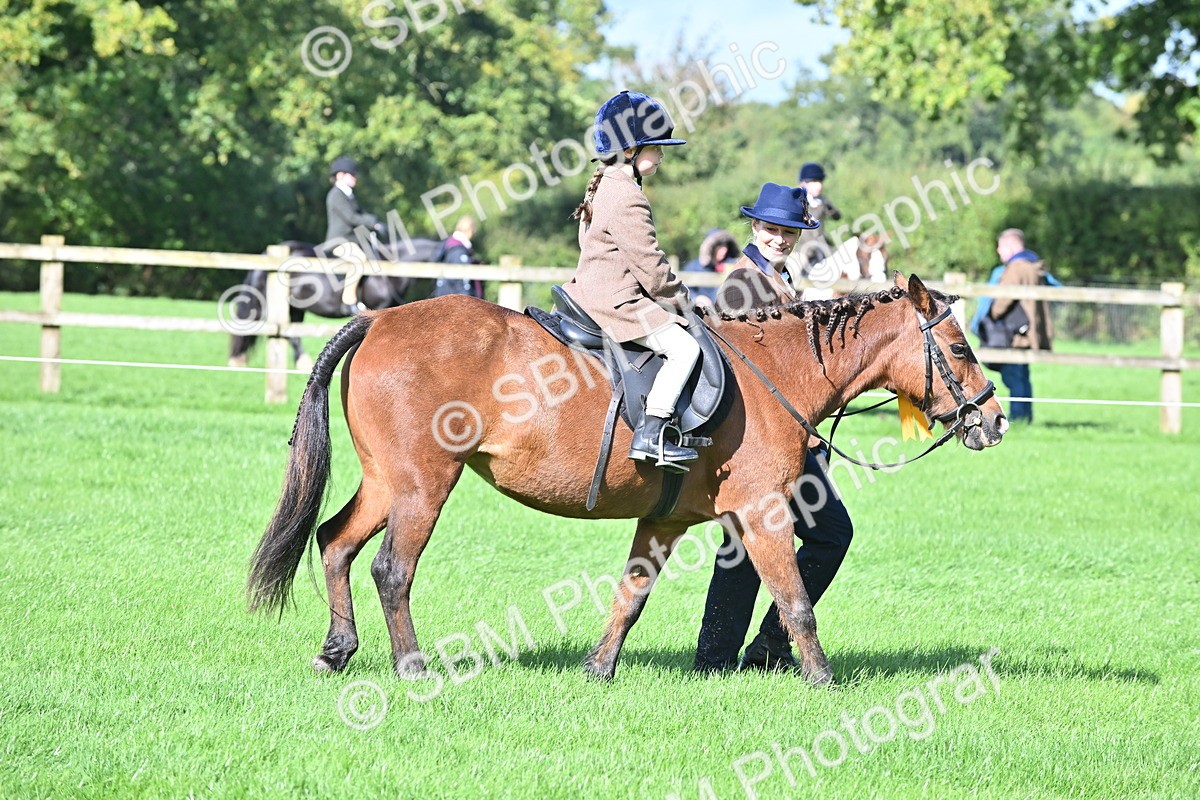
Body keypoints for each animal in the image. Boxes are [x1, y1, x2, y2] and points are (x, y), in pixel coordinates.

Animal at [246, 273, 1006, 686]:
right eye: (960, 347)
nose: (994, 420)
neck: (775, 372)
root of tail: (379, 318)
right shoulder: (762, 512)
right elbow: (796, 602)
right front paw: (821, 679)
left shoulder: (665, 520)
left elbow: (630, 597)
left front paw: (599, 668)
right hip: (422, 488)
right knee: (391, 569)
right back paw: (410, 665)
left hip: (388, 484)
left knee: (335, 543)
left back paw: (336, 651)